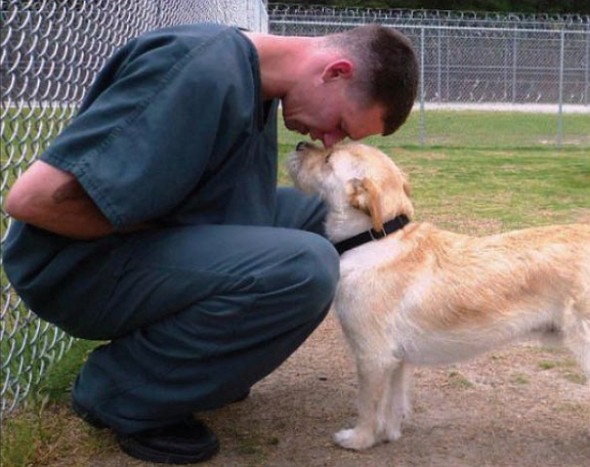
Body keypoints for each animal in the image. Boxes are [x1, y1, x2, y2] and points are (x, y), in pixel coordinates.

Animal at [288, 141, 590, 452]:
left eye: (328, 158)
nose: (299, 144)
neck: (378, 238)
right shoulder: (395, 360)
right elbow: (392, 404)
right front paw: (388, 434)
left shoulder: (373, 356)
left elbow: (367, 406)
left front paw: (358, 439)